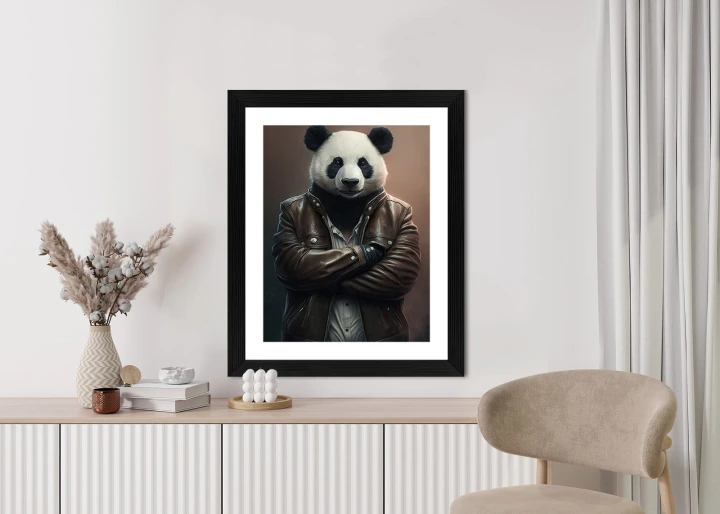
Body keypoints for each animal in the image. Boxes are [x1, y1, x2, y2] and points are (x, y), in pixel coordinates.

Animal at [272, 126, 422, 342]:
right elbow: (294, 261)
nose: (350, 182)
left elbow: (401, 266)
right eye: (337, 162)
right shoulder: (287, 215)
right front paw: (369, 253)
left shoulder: (406, 216)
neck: (347, 203)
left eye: (363, 163)